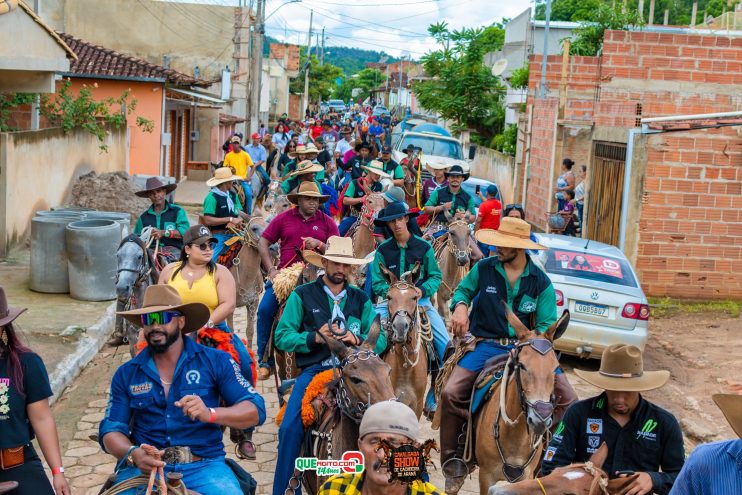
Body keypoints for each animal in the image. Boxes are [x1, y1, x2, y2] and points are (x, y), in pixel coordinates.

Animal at [474, 308, 572, 494]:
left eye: (555, 368)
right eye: (522, 365)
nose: (541, 418)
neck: (515, 437)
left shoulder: (527, 477)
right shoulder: (486, 475)